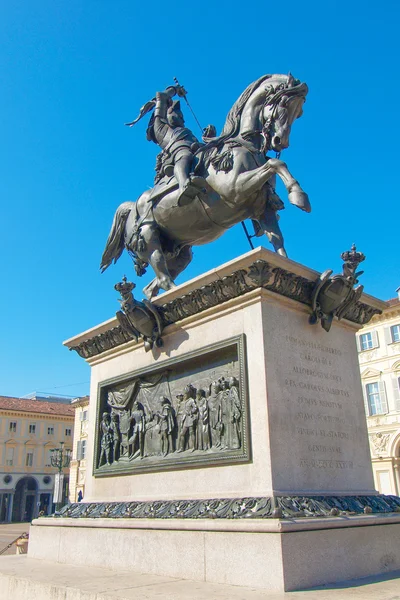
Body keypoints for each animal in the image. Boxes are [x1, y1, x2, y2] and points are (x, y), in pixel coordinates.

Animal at [101, 74, 310, 298]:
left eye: (299, 112)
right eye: (283, 104)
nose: (280, 142)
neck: (244, 145)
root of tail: (132, 207)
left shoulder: (263, 208)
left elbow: (277, 239)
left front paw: (284, 266)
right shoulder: (236, 189)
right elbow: (276, 163)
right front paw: (299, 196)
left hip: (179, 252)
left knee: (152, 287)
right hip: (149, 237)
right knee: (163, 277)